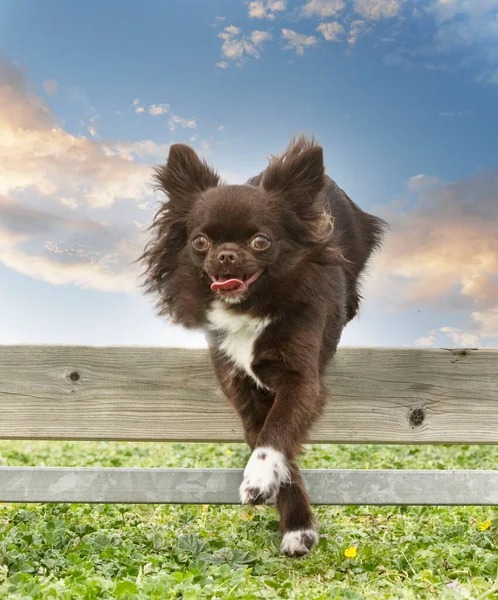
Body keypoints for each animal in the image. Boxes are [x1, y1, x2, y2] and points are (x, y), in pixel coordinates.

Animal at [139, 136, 386, 556]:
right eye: (200, 241)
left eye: (260, 241)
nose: (225, 254)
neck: (252, 306)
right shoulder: (240, 387)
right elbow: (269, 439)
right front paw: (295, 521)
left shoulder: (301, 381)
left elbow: (276, 434)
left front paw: (260, 480)